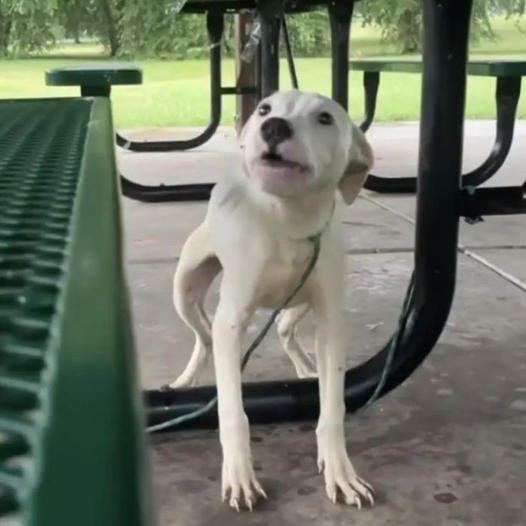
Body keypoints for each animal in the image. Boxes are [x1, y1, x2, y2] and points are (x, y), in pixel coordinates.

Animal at [173, 91, 376, 512]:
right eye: (265, 108)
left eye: (325, 118)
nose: (274, 127)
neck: (287, 221)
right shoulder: (232, 321)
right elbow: (233, 412)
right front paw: (239, 476)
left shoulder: (331, 321)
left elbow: (333, 408)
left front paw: (340, 471)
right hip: (184, 289)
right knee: (204, 338)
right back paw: (186, 380)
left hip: (299, 301)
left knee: (283, 329)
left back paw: (306, 368)